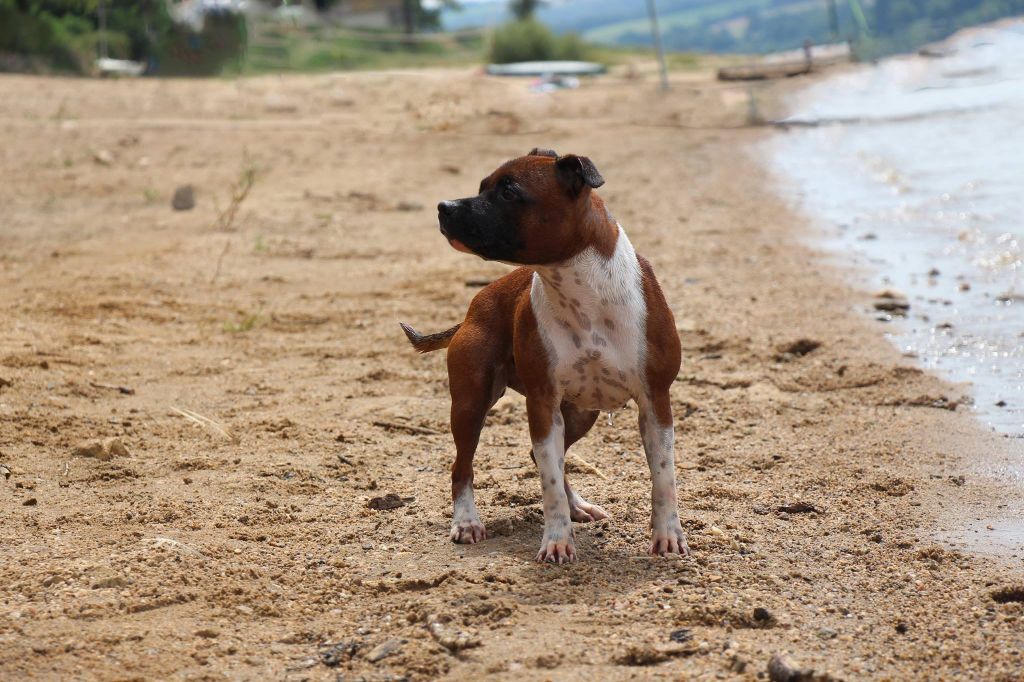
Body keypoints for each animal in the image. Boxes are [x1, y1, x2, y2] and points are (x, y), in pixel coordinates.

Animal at [399, 148, 688, 561]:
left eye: (508, 192)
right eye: (482, 187)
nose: (444, 206)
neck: (582, 290)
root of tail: (474, 305)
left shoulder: (655, 402)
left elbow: (663, 476)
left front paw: (667, 536)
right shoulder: (542, 404)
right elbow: (549, 483)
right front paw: (557, 540)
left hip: (580, 413)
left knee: (542, 457)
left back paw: (578, 505)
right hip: (471, 404)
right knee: (462, 466)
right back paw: (467, 522)